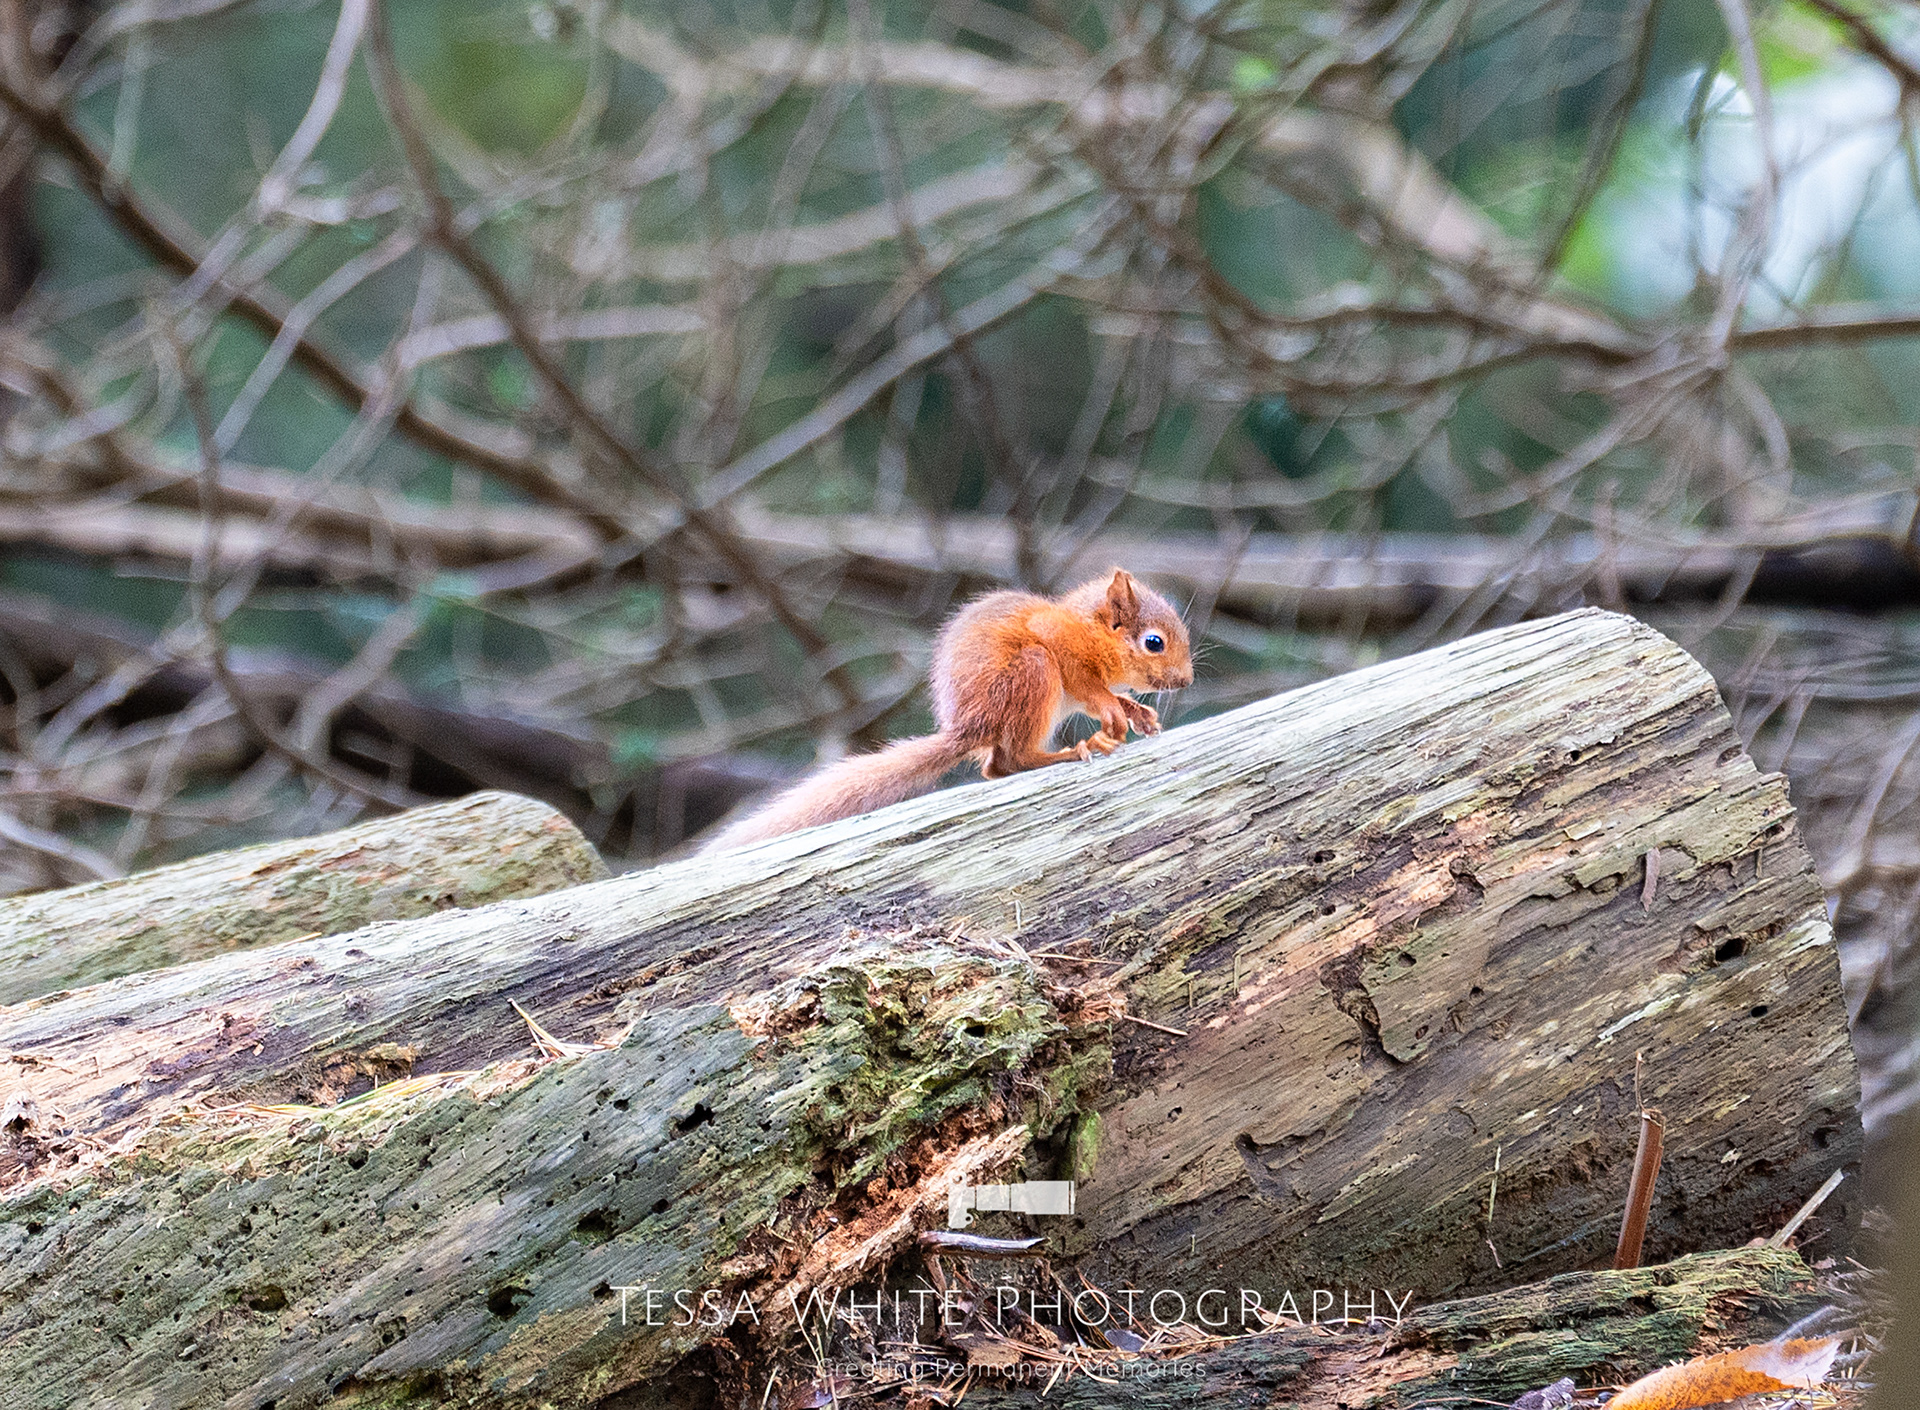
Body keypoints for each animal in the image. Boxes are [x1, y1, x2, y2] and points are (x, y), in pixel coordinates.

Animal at [700, 568, 1194, 852]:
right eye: (1154, 642)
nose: (1187, 681)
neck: (1091, 633)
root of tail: (969, 726)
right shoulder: (1061, 647)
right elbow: (1095, 692)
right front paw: (1114, 711)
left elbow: (1114, 695)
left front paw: (1138, 712)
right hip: (1032, 674)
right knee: (1012, 760)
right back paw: (1068, 753)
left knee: (996, 766)